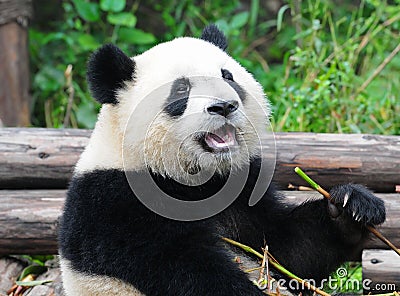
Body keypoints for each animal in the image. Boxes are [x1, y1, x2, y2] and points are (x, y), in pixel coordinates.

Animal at [58, 25, 384, 296]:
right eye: (181, 90)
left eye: (228, 77)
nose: (224, 106)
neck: (192, 177)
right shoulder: (118, 205)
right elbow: (188, 271)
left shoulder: (240, 188)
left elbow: (287, 251)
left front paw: (351, 206)